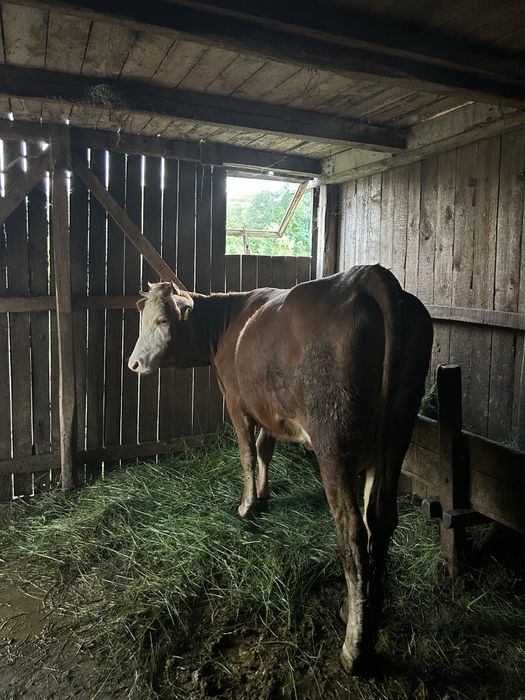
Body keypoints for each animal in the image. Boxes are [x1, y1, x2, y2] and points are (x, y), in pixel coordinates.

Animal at [128, 264, 433, 674]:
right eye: (142, 319)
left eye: (162, 319)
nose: (134, 363)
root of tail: (367, 277)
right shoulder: (268, 408)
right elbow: (264, 449)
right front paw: (264, 493)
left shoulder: (237, 401)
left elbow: (247, 453)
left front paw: (247, 505)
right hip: (395, 436)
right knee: (379, 523)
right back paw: (360, 612)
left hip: (332, 441)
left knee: (352, 530)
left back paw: (354, 649)